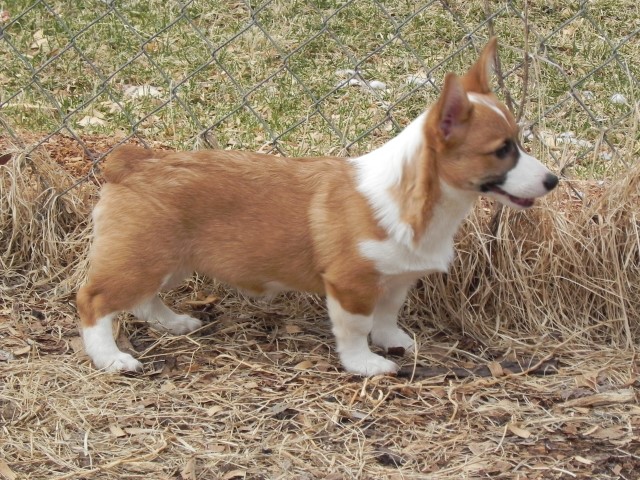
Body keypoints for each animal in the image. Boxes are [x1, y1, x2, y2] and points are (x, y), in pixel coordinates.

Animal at [79, 38, 560, 376]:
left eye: (518, 142)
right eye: (502, 150)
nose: (553, 181)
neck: (423, 204)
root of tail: (132, 163)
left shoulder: (396, 280)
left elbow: (388, 315)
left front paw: (395, 341)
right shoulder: (351, 285)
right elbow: (356, 329)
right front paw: (366, 364)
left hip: (166, 260)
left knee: (144, 301)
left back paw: (174, 324)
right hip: (142, 259)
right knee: (94, 301)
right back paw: (111, 359)